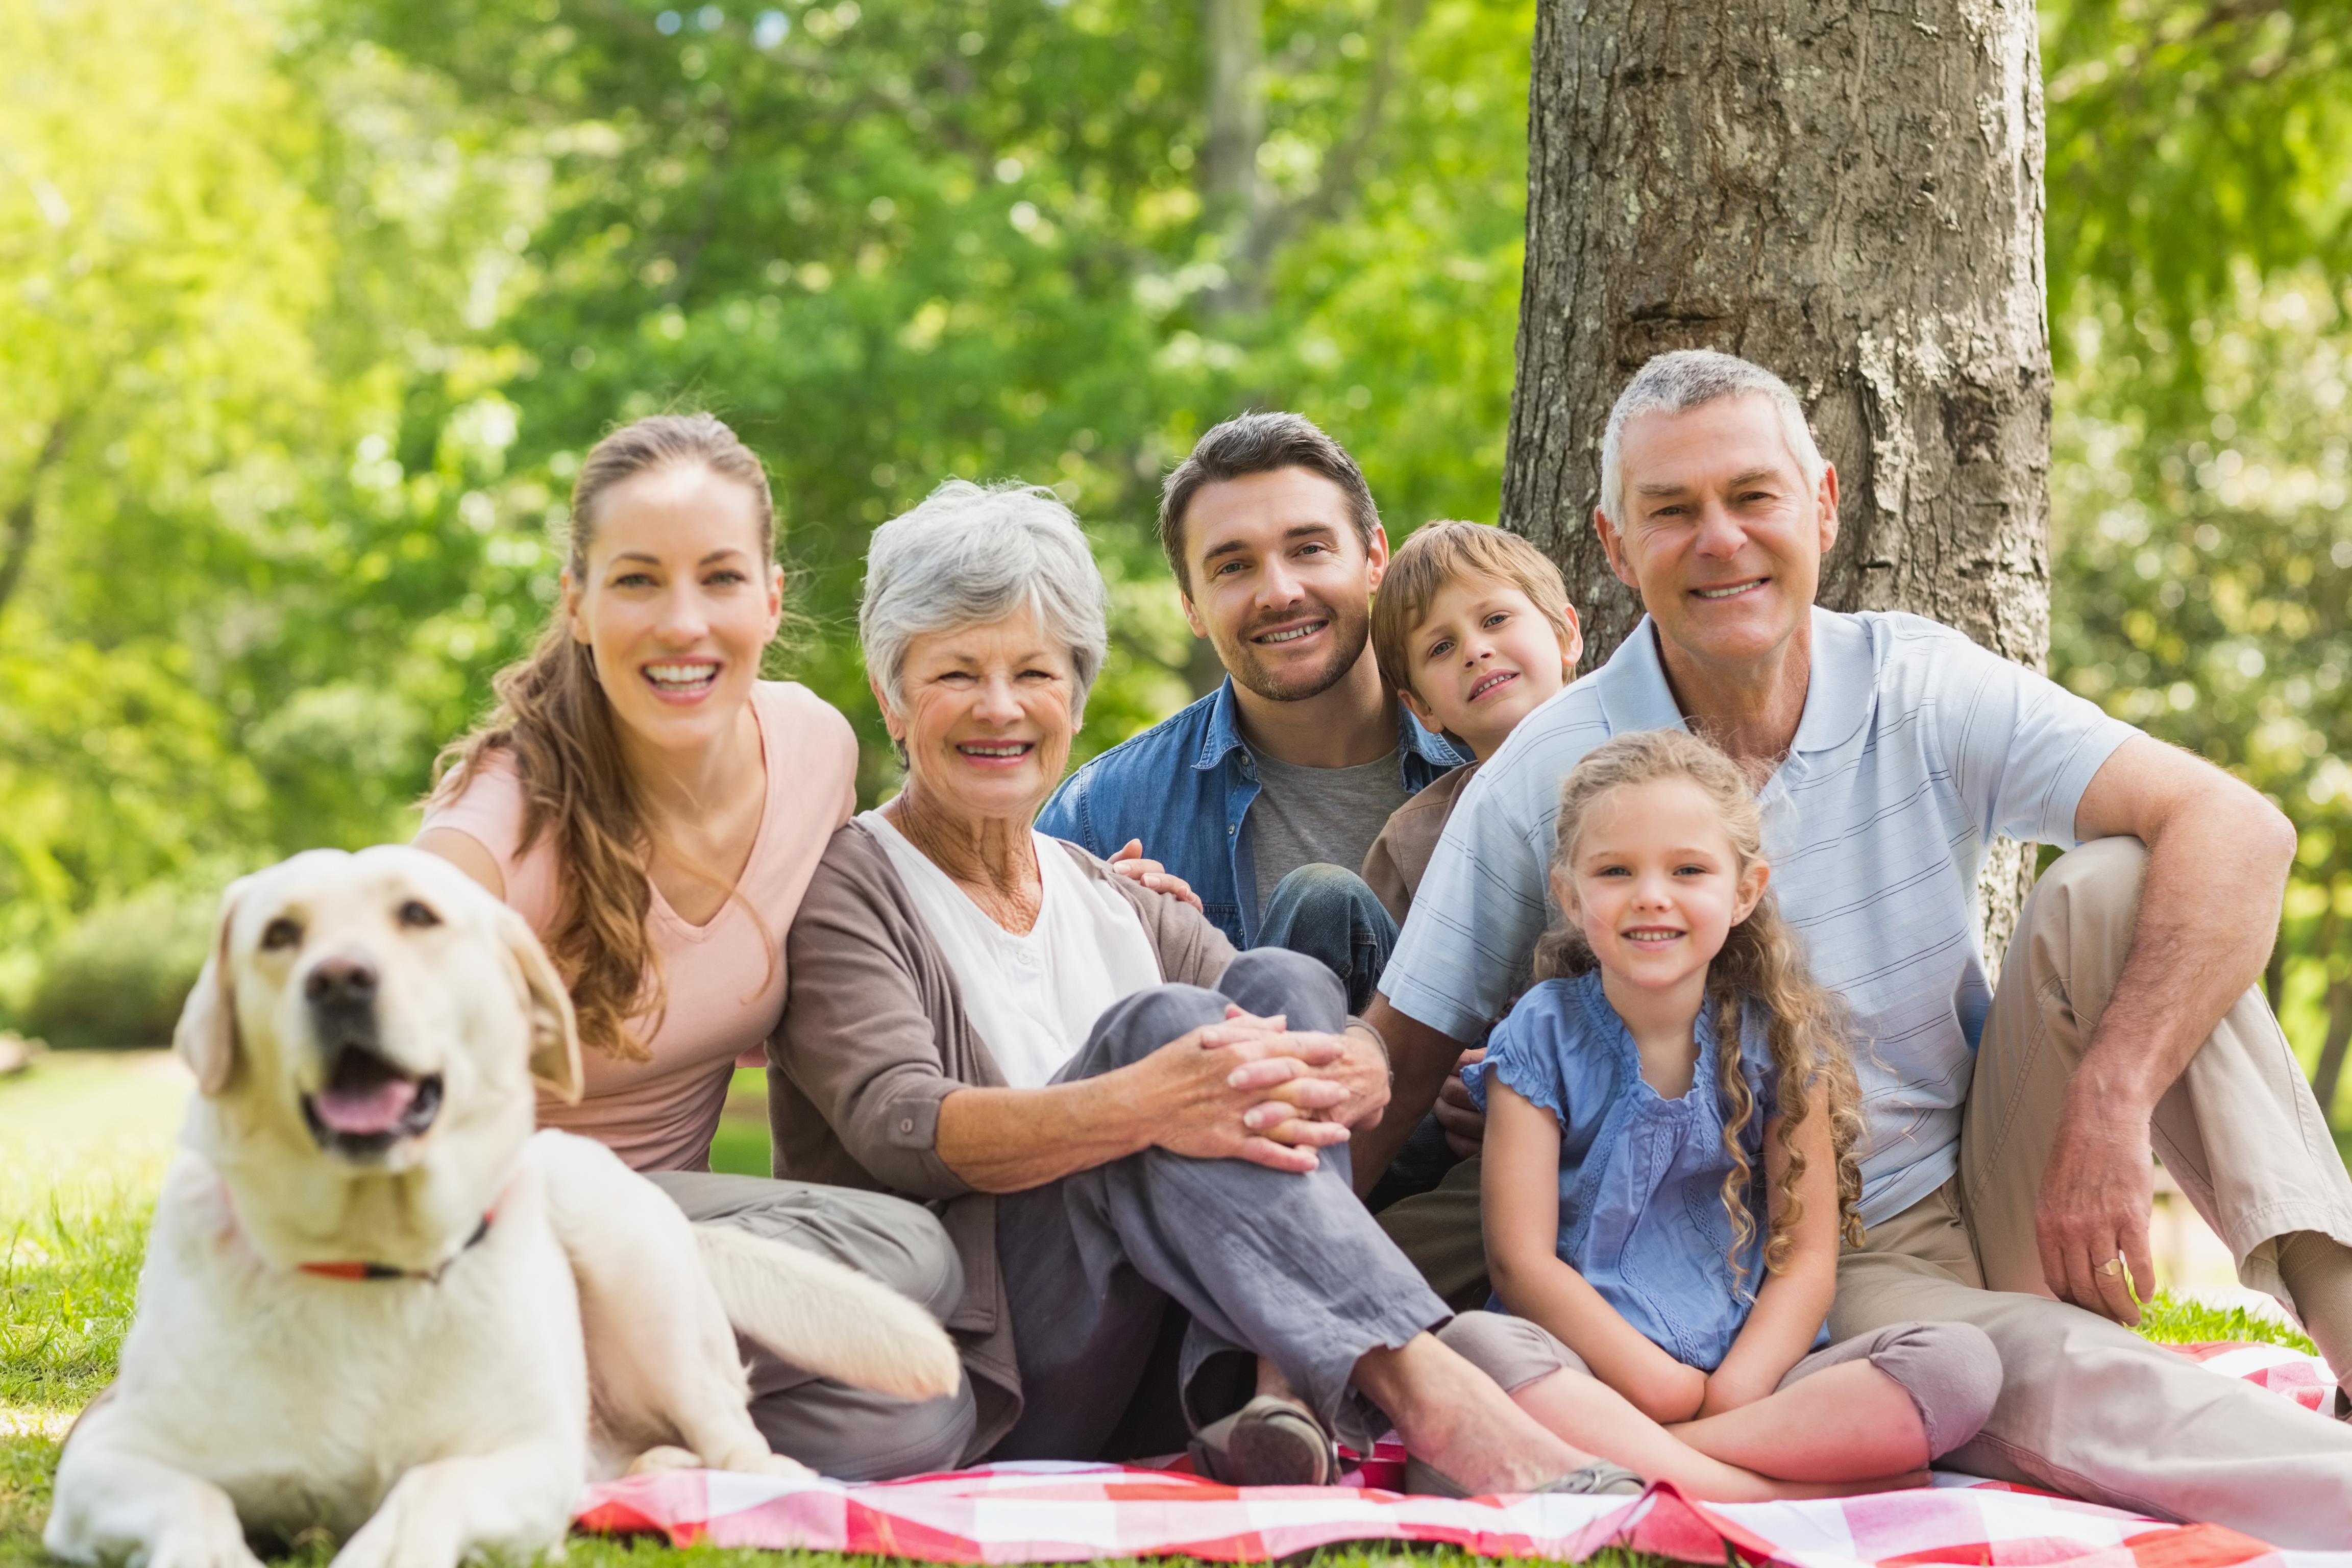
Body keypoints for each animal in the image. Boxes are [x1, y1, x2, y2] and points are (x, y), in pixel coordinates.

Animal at [41, 846, 954, 1568]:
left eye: (417, 915)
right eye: (279, 935)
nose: (339, 980)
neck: (367, 1255)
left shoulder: (516, 1461)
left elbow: (424, 1493)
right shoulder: (105, 1463)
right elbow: (194, 1505)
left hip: (620, 1247)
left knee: (731, 1434)